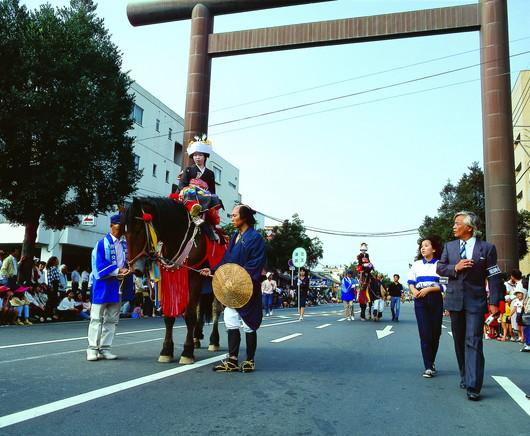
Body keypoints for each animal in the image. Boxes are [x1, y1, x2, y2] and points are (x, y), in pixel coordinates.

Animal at [122, 198, 222, 364]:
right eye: (125, 232)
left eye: (139, 230)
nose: (134, 269)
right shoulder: (169, 277)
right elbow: (169, 316)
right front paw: (166, 351)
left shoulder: (194, 276)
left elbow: (189, 315)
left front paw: (187, 352)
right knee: (200, 309)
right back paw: (196, 338)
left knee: (215, 310)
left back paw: (214, 341)